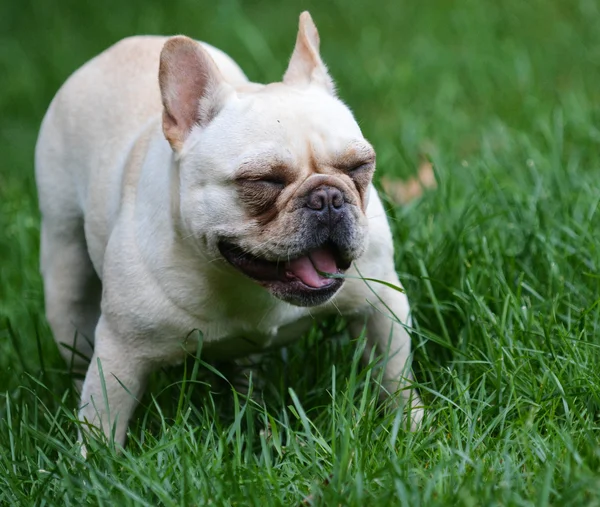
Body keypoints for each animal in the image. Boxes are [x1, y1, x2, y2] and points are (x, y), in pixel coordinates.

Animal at [36, 10, 422, 448]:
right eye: (263, 181)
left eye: (359, 166)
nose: (327, 198)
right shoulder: (120, 353)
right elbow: (101, 421)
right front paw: (97, 463)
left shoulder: (382, 305)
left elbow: (395, 376)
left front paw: (411, 428)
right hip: (64, 267)